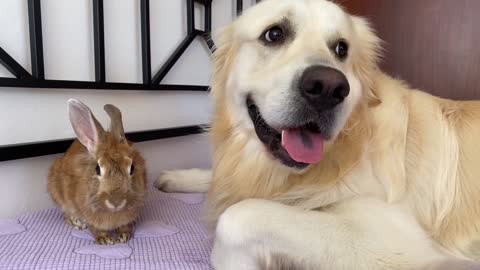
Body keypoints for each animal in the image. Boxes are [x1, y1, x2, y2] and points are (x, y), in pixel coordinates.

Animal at [49, 98, 147, 245]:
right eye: (97, 169)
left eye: (132, 168)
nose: (116, 202)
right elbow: (96, 228)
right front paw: (105, 239)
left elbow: (124, 226)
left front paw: (124, 236)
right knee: (66, 215)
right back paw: (77, 223)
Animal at [156, 0, 480, 268]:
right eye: (274, 34)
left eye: (341, 49)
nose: (328, 87)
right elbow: (220, 181)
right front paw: (177, 177)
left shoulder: (392, 238)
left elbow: (237, 215)